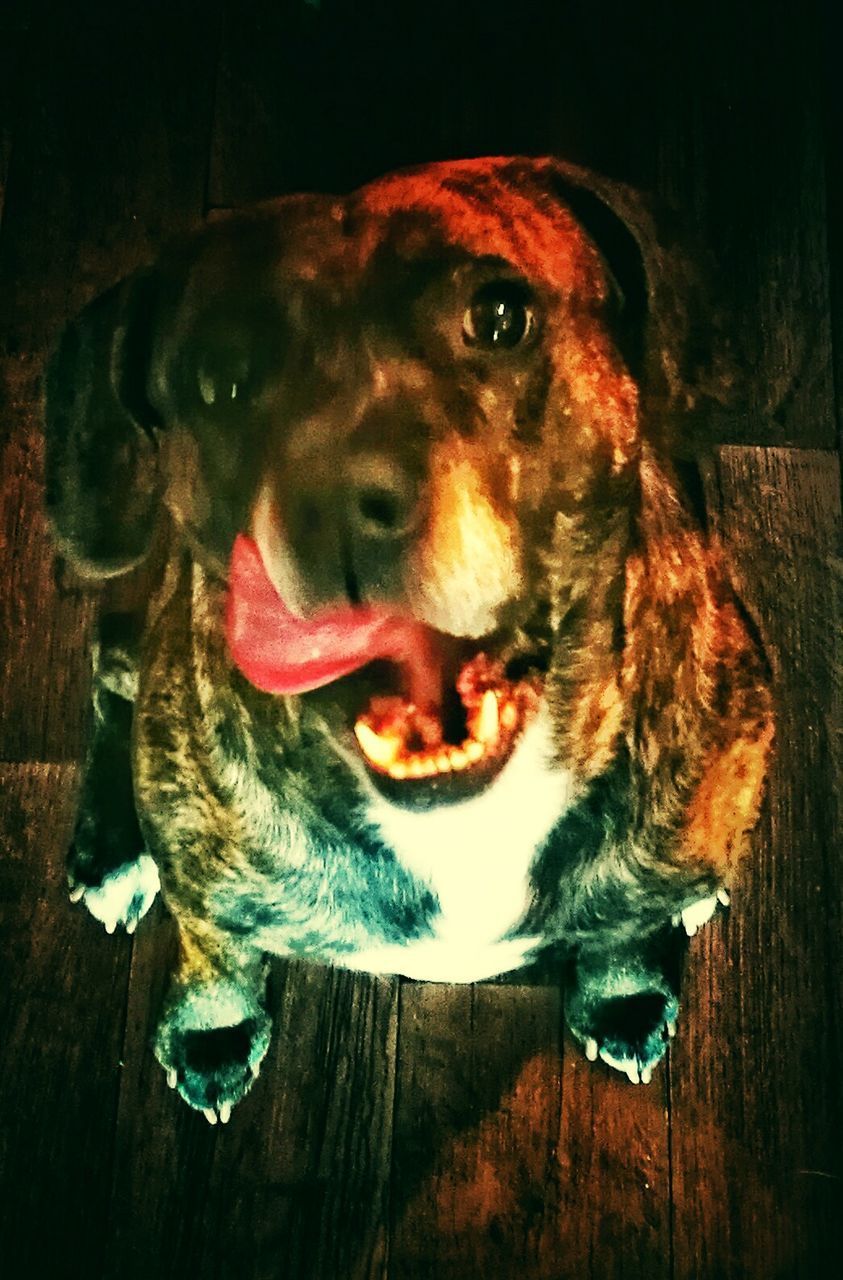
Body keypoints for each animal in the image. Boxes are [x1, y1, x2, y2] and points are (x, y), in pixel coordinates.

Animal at [44, 157, 772, 1121]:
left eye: (499, 317)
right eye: (218, 380)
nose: (330, 504)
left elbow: (626, 923)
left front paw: (625, 991)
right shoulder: (210, 884)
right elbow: (216, 952)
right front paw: (212, 1029)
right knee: (106, 671)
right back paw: (113, 854)